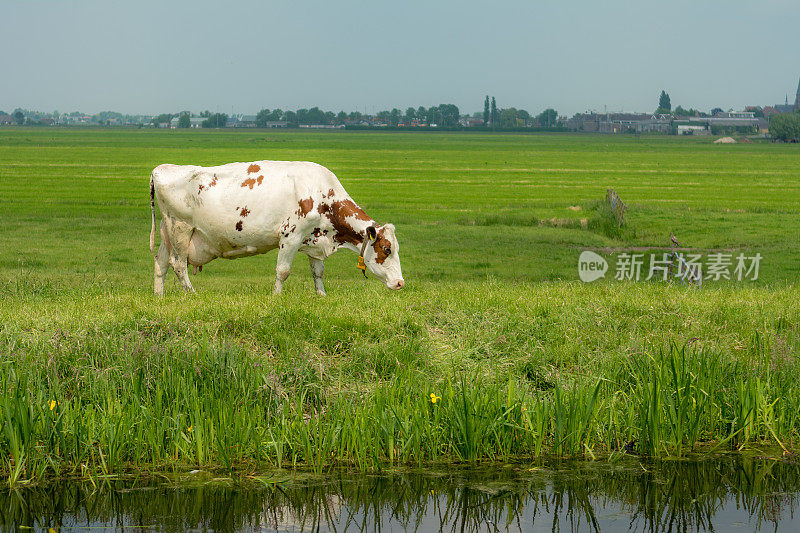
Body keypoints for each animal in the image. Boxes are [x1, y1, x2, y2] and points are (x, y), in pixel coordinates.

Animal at [148, 161, 406, 296]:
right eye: (386, 249)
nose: (400, 283)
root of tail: (162, 167)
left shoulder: (314, 239)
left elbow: (318, 271)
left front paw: (321, 295)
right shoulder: (290, 236)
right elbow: (283, 271)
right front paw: (276, 296)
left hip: (167, 230)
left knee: (160, 262)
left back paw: (159, 296)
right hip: (180, 228)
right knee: (178, 264)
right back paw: (192, 294)